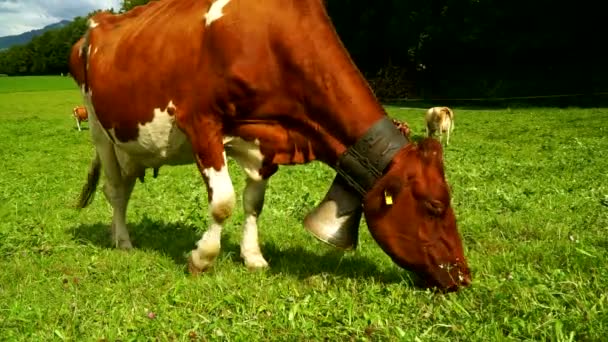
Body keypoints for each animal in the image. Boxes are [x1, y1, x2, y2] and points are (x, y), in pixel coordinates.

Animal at [69, 0, 472, 292]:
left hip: (132, 143)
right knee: (115, 190)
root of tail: (96, 24)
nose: (464, 276)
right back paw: (123, 241)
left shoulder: (267, 141)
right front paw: (202, 258)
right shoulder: (201, 122)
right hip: (99, 129)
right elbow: (223, 203)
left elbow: (253, 203)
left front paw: (253, 257)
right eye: (435, 206)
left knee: (125, 185)